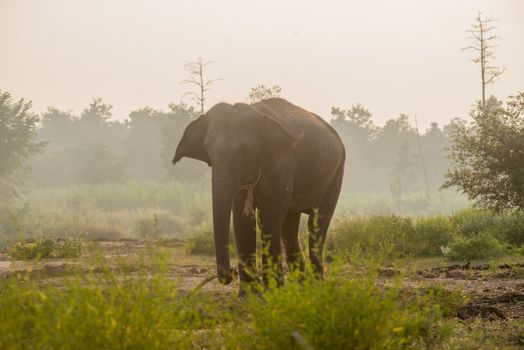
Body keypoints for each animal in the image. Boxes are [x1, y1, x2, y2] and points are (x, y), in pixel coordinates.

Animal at [173, 98, 344, 290]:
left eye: (243, 151)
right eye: (208, 151)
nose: (231, 272)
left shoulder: (283, 165)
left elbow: (269, 216)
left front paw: (274, 290)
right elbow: (241, 219)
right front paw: (250, 294)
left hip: (336, 174)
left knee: (317, 223)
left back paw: (315, 286)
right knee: (289, 227)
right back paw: (299, 287)